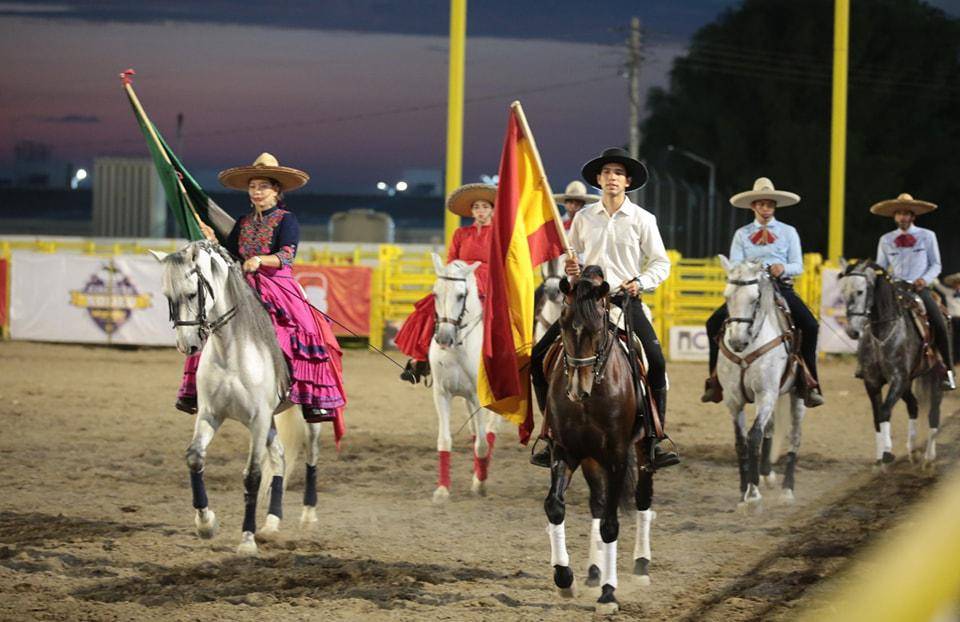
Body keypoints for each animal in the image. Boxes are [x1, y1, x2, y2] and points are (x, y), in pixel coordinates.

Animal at [152, 243, 324, 556]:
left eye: (192, 293)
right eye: (167, 296)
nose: (187, 346)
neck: (231, 350)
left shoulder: (257, 421)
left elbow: (252, 475)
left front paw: (246, 540)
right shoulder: (210, 414)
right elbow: (195, 458)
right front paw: (206, 524)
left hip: (308, 415)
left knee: (311, 454)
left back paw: (308, 517)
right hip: (270, 420)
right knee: (279, 457)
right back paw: (271, 523)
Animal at [430, 254, 502, 502]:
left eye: (461, 295)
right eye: (435, 293)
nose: (443, 338)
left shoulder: (480, 398)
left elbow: (482, 444)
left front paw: (480, 484)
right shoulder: (442, 394)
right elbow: (444, 440)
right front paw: (442, 490)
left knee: (489, 432)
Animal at [544, 266, 656, 616]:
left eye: (597, 328)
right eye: (563, 324)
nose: (577, 390)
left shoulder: (618, 457)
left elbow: (610, 524)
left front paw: (609, 594)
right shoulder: (565, 451)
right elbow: (555, 507)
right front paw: (564, 578)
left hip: (641, 453)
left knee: (642, 499)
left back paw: (641, 566)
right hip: (592, 459)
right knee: (597, 500)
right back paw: (593, 570)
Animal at [716, 258, 808, 512]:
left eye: (755, 298)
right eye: (727, 296)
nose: (737, 341)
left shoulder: (766, 393)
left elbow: (754, 436)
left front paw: (753, 494)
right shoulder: (733, 399)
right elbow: (741, 442)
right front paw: (743, 492)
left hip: (797, 396)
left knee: (794, 437)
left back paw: (787, 490)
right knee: (771, 428)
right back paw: (767, 475)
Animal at [840, 260, 944, 468]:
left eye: (860, 291)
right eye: (844, 291)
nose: (852, 331)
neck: (883, 333)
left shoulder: (897, 379)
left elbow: (885, 410)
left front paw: (887, 452)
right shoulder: (872, 382)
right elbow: (876, 416)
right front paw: (881, 456)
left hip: (934, 377)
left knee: (934, 412)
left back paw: (929, 456)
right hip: (907, 384)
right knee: (914, 405)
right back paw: (912, 450)